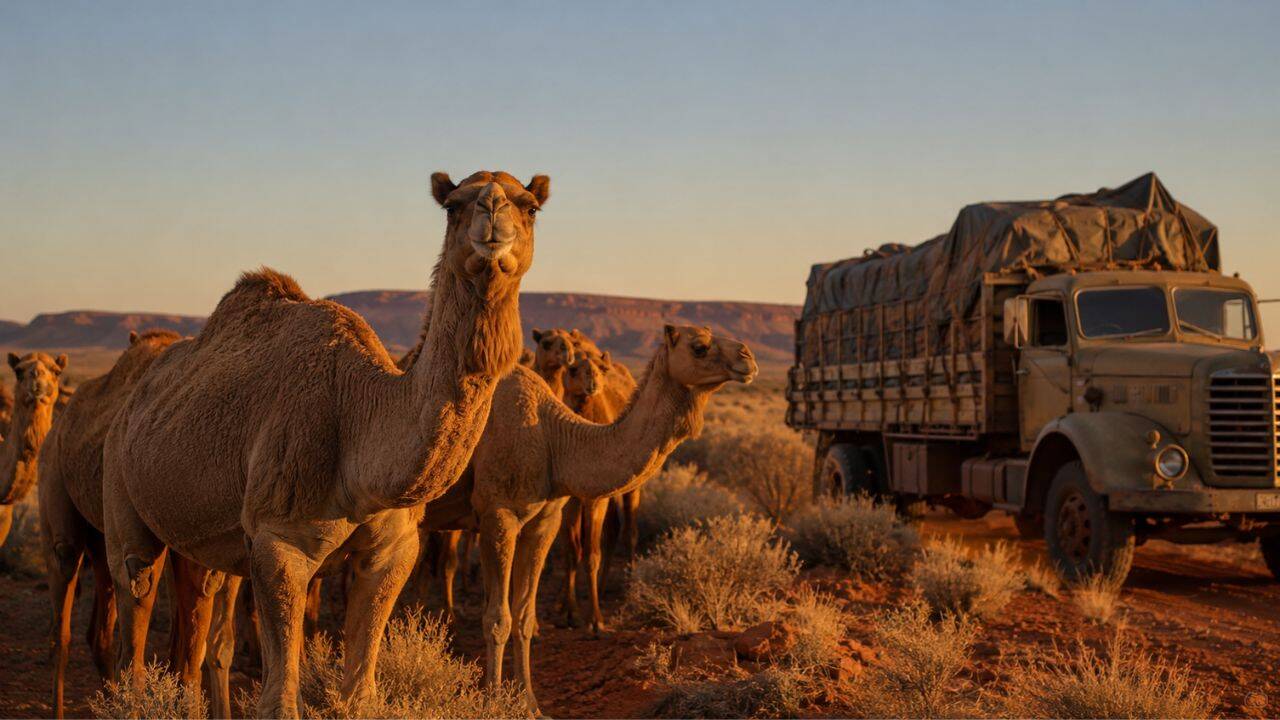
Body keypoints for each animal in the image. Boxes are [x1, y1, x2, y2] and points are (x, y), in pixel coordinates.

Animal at [100, 170, 548, 718]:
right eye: (453, 205)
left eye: (530, 206)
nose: (492, 211)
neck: (358, 416)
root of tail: (129, 403)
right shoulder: (278, 540)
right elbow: (279, 698)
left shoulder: (395, 548)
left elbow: (361, 691)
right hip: (119, 485)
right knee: (135, 592)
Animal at [423, 324, 757, 714]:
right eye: (699, 346)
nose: (747, 358)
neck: (554, 440)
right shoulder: (498, 515)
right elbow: (497, 617)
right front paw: (493, 703)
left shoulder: (543, 521)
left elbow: (524, 616)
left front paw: (531, 704)